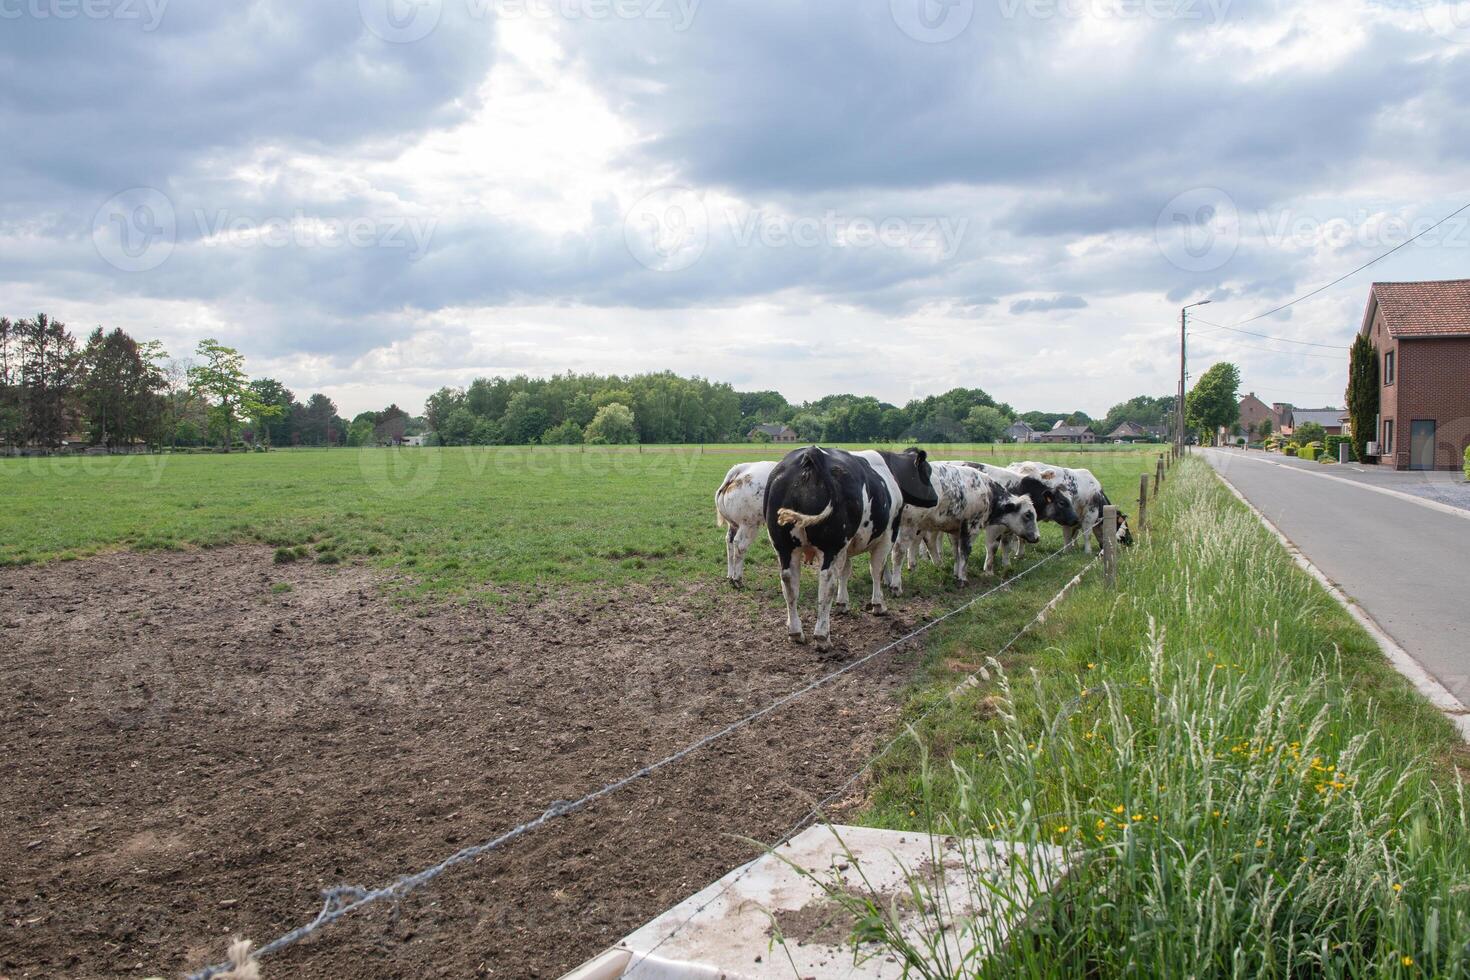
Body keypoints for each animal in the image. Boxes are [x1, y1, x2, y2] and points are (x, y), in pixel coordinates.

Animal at [714, 455, 776, 587]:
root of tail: (740, 470)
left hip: (734, 524)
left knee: (729, 542)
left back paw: (730, 576)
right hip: (749, 524)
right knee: (740, 546)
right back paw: (737, 579)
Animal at [764, 449, 934, 655]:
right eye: (927, 471)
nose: (935, 498)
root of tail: (812, 452)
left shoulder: (847, 546)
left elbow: (845, 571)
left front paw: (843, 603)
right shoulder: (887, 534)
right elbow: (877, 569)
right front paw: (879, 604)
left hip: (785, 548)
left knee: (789, 583)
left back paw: (795, 631)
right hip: (830, 546)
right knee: (827, 584)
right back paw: (822, 636)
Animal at [893, 464, 1046, 587]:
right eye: (1028, 515)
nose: (1037, 537)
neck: (987, 491)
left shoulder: (955, 530)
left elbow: (957, 552)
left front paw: (956, 573)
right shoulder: (971, 526)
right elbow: (966, 551)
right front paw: (963, 578)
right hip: (908, 526)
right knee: (899, 550)